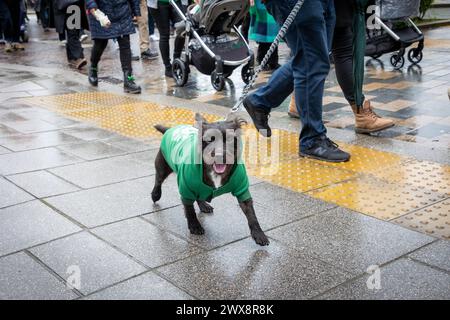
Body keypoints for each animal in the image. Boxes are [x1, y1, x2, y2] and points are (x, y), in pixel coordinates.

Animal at [153, 112, 268, 245]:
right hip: (163, 166)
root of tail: (170, 129)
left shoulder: (242, 190)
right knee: (158, 180)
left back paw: (204, 205)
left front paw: (259, 234)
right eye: (209, 140)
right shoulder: (186, 189)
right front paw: (195, 226)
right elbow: (189, 210)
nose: (219, 155)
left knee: (199, 194)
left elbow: (251, 213)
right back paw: (155, 194)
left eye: (230, 139)